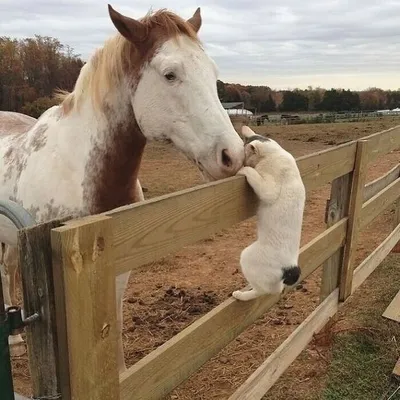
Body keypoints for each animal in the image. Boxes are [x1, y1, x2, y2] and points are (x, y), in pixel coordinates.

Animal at [0, 3, 244, 372]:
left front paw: (119, 372)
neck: (85, 174)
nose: (233, 155)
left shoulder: (117, 264)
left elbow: (112, 322)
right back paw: (14, 341)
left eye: (212, 72)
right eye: (170, 74)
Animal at [231, 125, 306, 300]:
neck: (275, 153)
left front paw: (243, 169)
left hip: (247, 257)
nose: (241, 163)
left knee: (264, 291)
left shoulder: (269, 190)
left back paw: (240, 295)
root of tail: (291, 267)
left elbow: (252, 174)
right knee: (276, 289)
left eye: (245, 154)